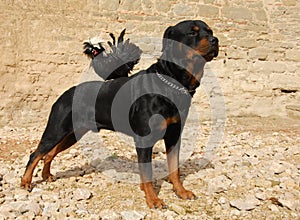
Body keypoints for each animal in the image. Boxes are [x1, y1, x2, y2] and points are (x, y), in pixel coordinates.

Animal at [20, 20, 218, 208]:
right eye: (192, 32)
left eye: (210, 31)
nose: (215, 40)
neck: (172, 83)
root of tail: (64, 95)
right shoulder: (144, 139)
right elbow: (148, 172)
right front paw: (153, 200)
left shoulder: (174, 136)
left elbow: (174, 169)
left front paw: (181, 191)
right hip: (56, 130)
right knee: (36, 154)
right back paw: (25, 182)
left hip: (72, 134)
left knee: (49, 154)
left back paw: (47, 175)